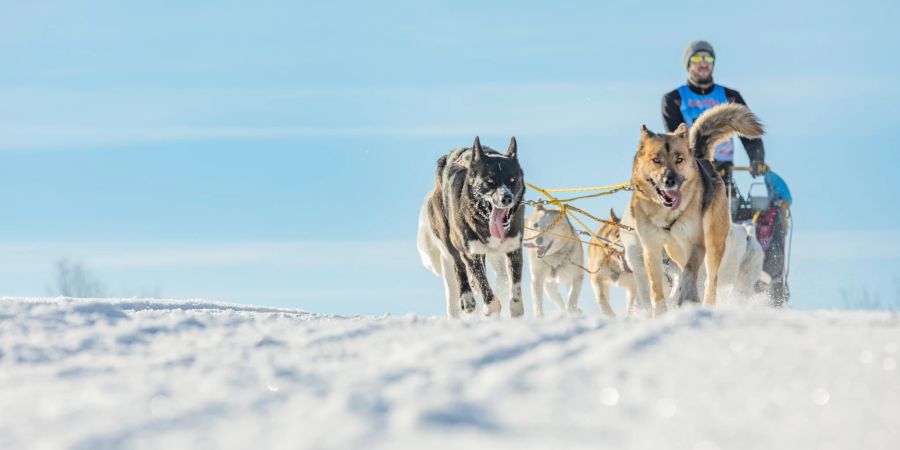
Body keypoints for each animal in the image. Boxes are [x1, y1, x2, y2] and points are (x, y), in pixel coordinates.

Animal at [420, 136, 528, 316]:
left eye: (513, 180)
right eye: (490, 181)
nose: (507, 198)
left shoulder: (514, 249)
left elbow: (516, 293)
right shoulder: (471, 253)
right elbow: (487, 293)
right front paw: (490, 307)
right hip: (449, 238)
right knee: (459, 266)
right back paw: (467, 297)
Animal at [624, 104, 768, 316]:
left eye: (679, 159)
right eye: (656, 160)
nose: (670, 180)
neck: (666, 215)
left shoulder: (696, 245)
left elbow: (690, 273)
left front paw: (687, 299)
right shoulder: (651, 248)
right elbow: (656, 288)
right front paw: (660, 313)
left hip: (714, 247)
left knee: (711, 281)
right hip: (675, 250)